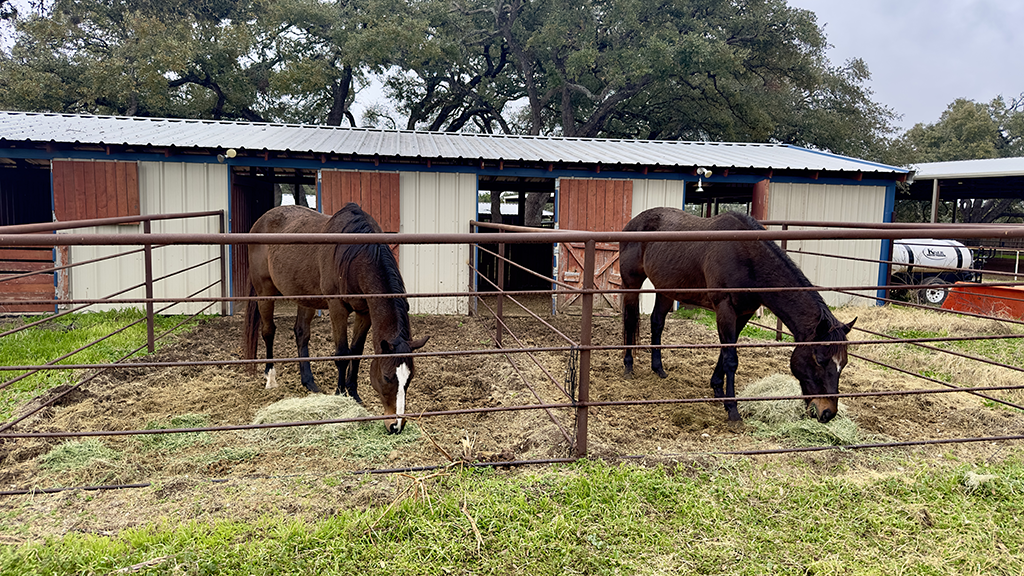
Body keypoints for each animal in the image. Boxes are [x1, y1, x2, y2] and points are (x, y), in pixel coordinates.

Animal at [242, 203, 429, 434]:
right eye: (386, 377)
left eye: (409, 378)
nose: (396, 425)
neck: (356, 255)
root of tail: (262, 220)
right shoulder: (337, 308)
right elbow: (341, 353)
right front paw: (340, 394)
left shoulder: (365, 313)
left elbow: (355, 352)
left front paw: (354, 395)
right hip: (264, 291)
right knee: (268, 332)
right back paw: (270, 378)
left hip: (305, 297)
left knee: (301, 334)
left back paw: (309, 382)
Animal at [619, 207, 855, 424]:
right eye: (819, 360)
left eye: (843, 364)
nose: (827, 412)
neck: (747, 257)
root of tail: (632, 224)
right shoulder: (725, 309)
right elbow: (731, 359)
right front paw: (732, 409)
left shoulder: (743, 314)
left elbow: (725, 352)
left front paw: (717, 389)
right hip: (632, 283)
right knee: (630, 322)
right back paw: (628, 366)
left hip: (667, 289)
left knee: (657, 323)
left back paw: (658, 368)